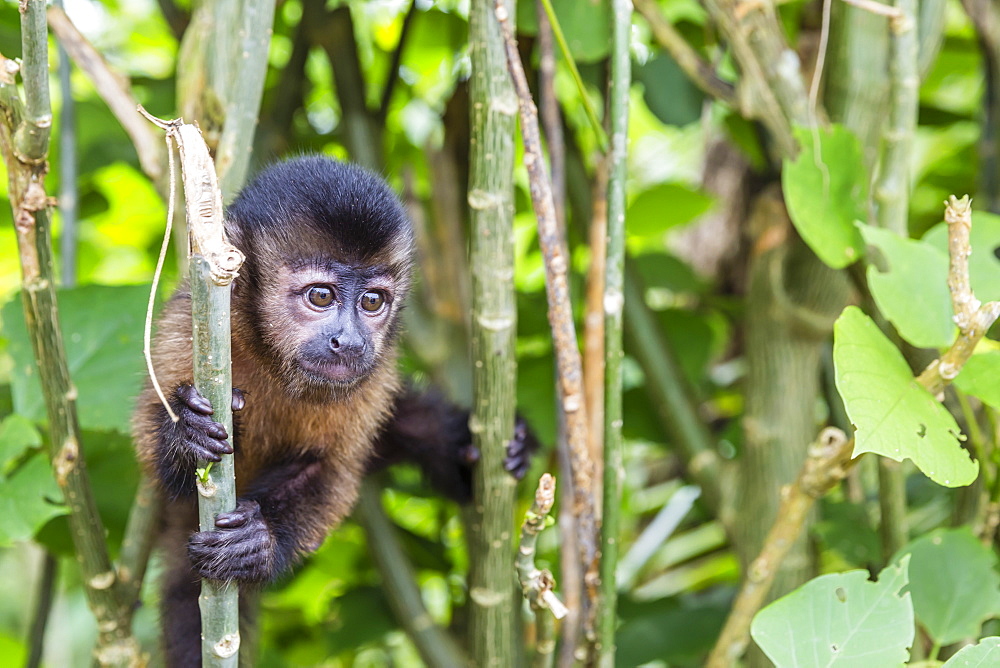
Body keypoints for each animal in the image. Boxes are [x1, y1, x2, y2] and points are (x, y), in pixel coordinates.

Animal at [137, 155, 536, 664]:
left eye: (372, 301)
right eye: (321, 296)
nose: (348, 341)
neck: (272, 359)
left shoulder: (374, 377)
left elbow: (333, 471)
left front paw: (259, 543)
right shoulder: (188, 324)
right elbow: (152, 452)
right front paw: (186, 437)